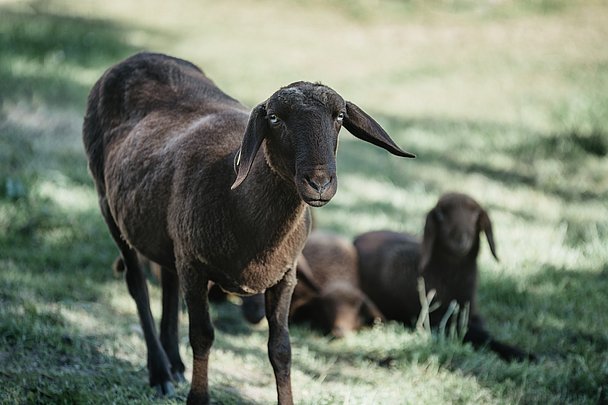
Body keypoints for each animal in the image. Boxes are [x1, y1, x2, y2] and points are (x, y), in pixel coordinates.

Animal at [82, 52, 414, 402]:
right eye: (275, 119)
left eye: (339, 117)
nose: (320, 183)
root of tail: (140, 56)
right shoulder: (194, 265)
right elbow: (202, 336)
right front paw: (198, 398)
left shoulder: (285, 275)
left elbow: (281, 349)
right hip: (107, 201)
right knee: (138, 284)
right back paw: (159, 372)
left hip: (162, 229)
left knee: (168, 283)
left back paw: (174, 364)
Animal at [354, 191, 536, 362]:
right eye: (440, 215)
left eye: (476, 215)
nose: (460, 239)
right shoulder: (438, 322)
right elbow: (480, 336)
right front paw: (523, 354)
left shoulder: (471, 313)